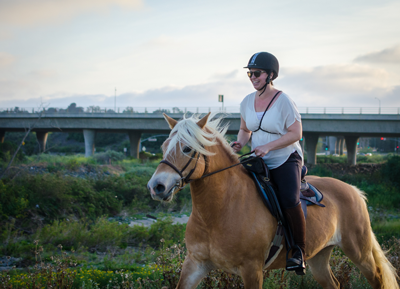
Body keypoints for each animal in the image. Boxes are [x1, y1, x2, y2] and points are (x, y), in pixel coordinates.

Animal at [148, 112, 400, 288]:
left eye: (187, 148)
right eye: (163, 146)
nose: (156, 186)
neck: (218, 211)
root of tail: (354, 190)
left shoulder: (252, 270)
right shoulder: (195, 265)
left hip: (360, 253)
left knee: (377, 279)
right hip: (319, 257)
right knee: (334, 284)